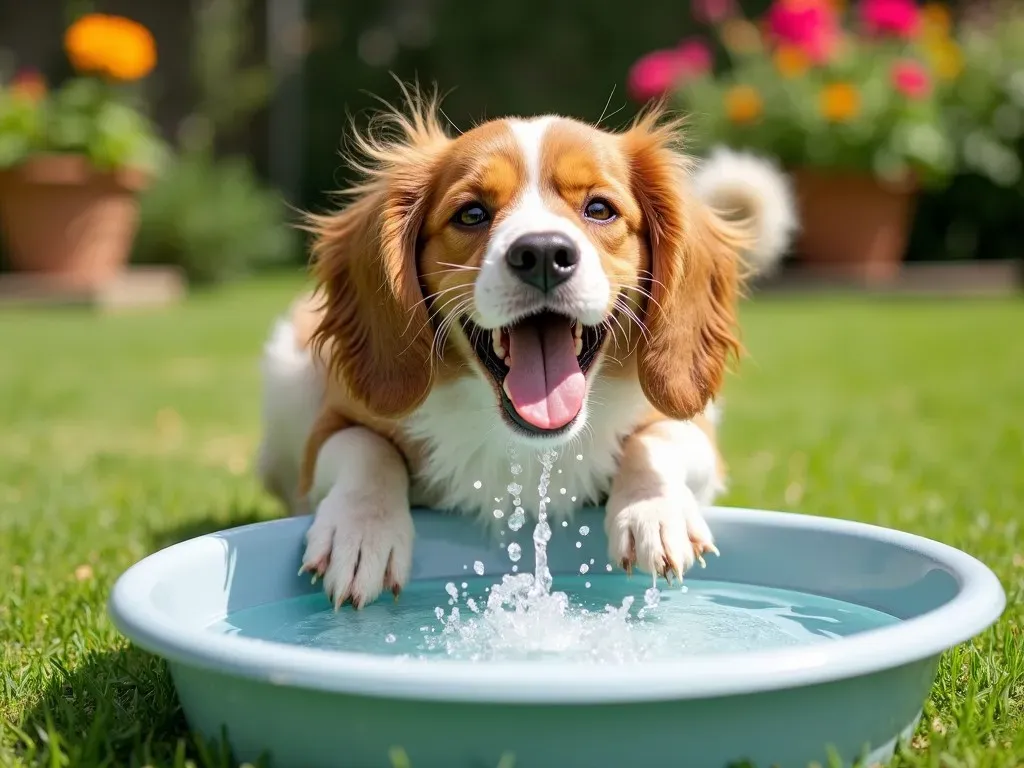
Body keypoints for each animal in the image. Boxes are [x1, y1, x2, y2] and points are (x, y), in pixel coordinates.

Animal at [258, 93, 798, 610]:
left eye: (599, 209)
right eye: (472, 214)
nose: (542, 253)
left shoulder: (696, 428)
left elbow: (659, 437)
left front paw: (655, 508)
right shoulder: (329, 425)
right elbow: (364, 448)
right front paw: (362, 530)